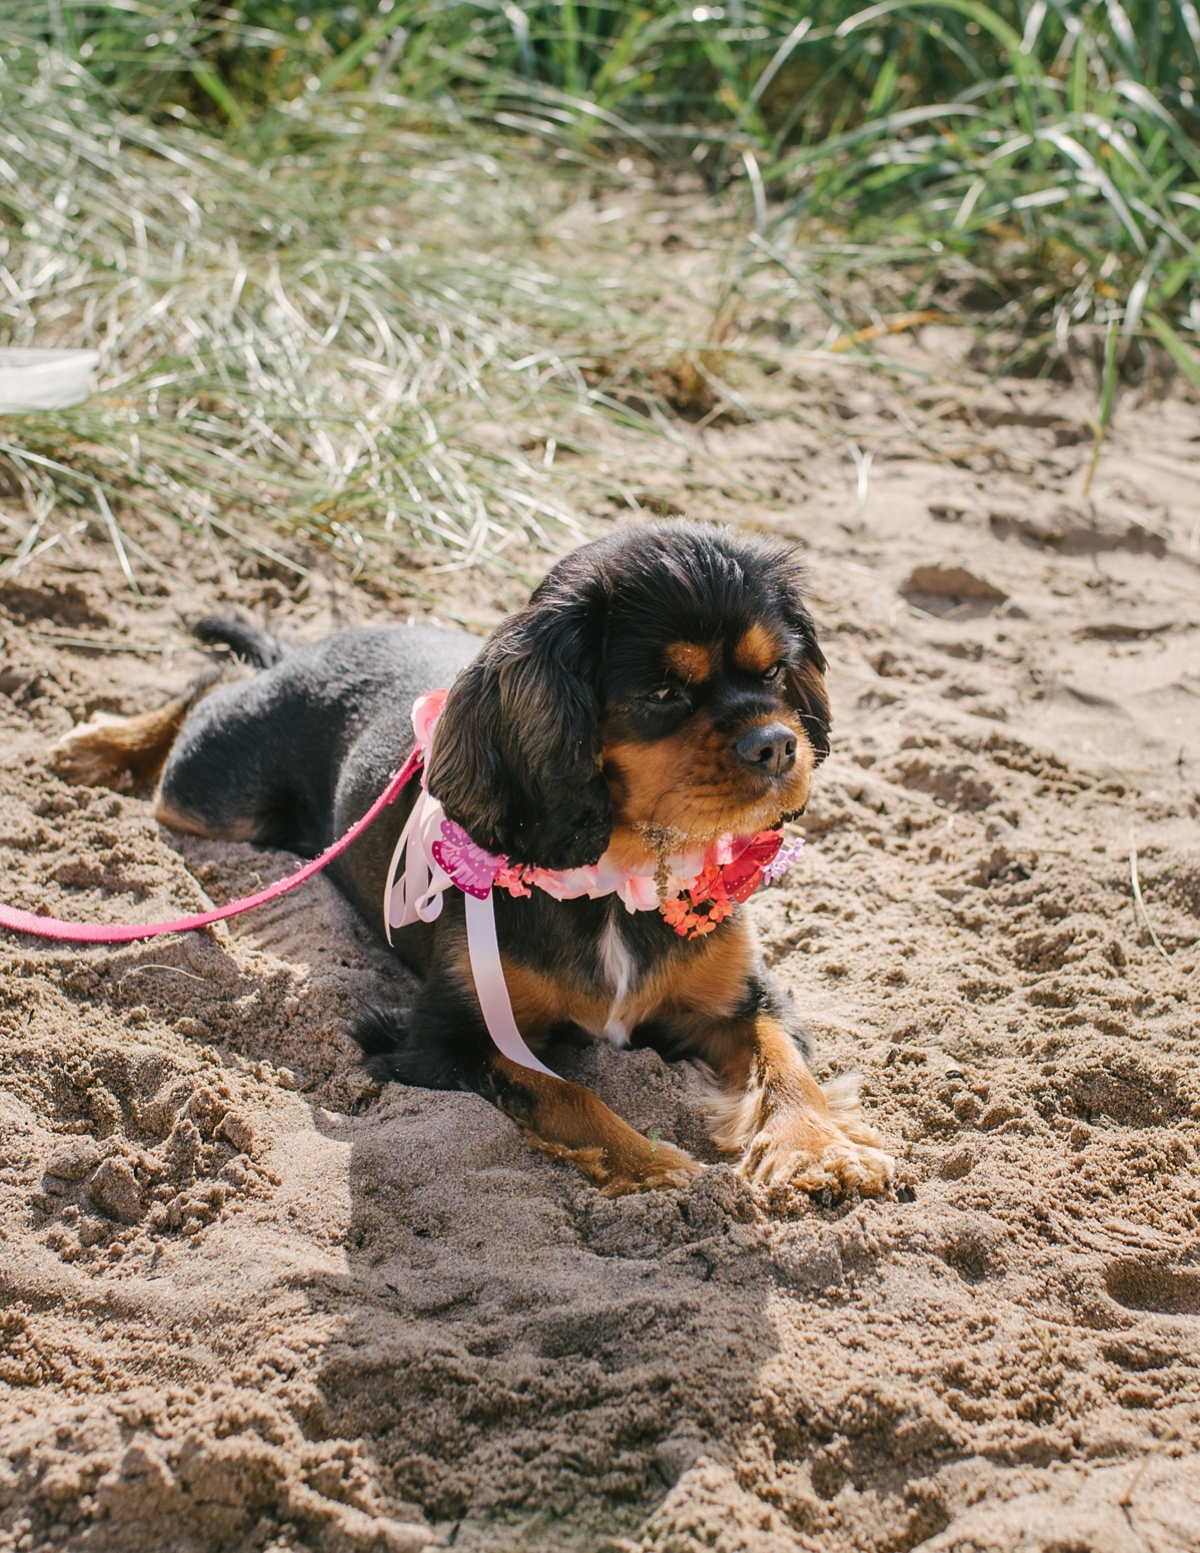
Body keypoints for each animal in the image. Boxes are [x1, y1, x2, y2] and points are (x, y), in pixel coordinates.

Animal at [60, 528, 894, 1192]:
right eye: (662, 692)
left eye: (774, 672)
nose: (778, 744)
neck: (617, 873)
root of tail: (308, 651)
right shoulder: (439, 1039)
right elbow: (560, 1092)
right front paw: (652, 1161)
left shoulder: (744, 998)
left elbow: (785, 1062)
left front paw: (819, 1148)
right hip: (215, 798)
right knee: (210, 689)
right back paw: (99, 743)